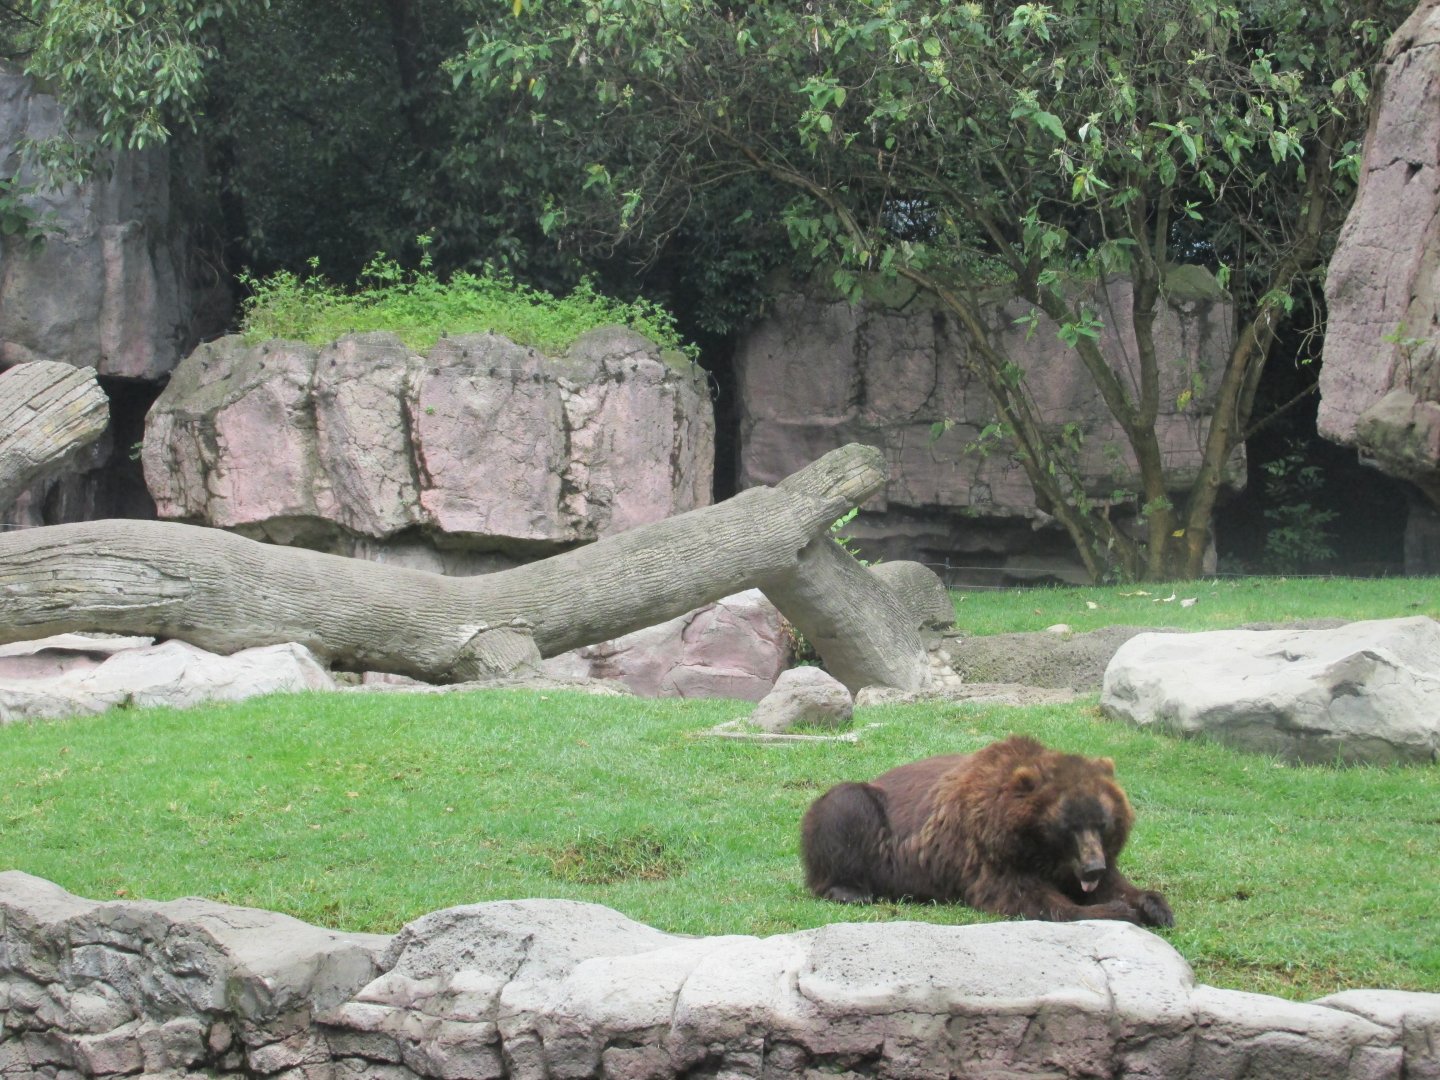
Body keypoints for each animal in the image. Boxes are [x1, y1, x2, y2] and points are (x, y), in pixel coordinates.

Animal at [799, 734, 1174, 927]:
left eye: (1103, 823)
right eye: (1069, 826)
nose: (1092, 867)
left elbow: (1116, 885)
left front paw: (1153, 905)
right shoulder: (984, 855)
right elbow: (1030, 898)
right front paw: (1119, 912)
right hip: (870, 816)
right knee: (846, 806)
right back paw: (850, 890)